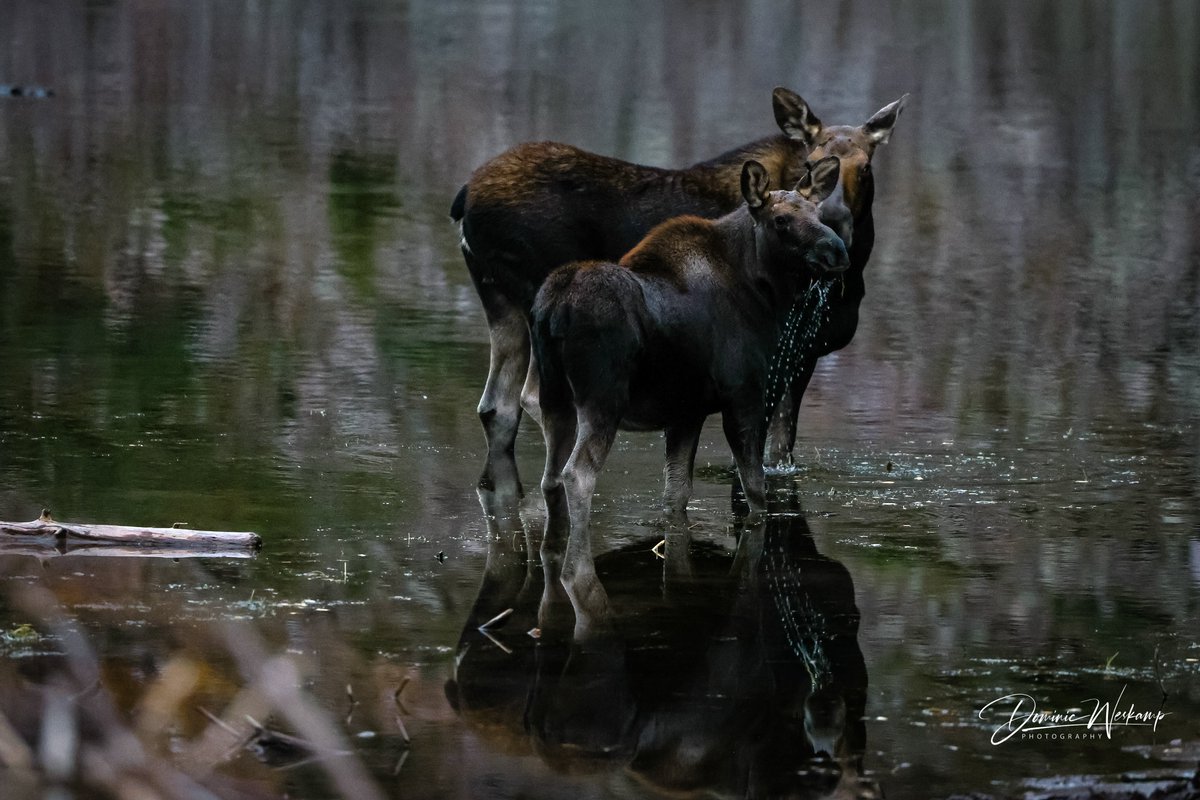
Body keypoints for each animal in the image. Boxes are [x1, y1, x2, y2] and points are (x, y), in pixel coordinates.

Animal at [453, 87, 902, 479]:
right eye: (813, 160)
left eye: (866, 167)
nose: (835, 223)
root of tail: (464, 195)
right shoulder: (778, 352)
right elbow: (765, 451)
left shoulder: (799, 354)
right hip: (536, 302)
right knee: (532, 400)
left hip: (500, 301)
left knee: (496, 406)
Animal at [535, 158, 844, 614]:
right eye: (781, 220)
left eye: (818, 213)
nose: (837, 250)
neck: (764, 297)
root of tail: (554, 305)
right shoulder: (743, 398)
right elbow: (756, 494)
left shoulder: (685, 414)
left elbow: (676, 494)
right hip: (601, 402)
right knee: (578, 475)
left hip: (553, 399)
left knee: (551, 477)